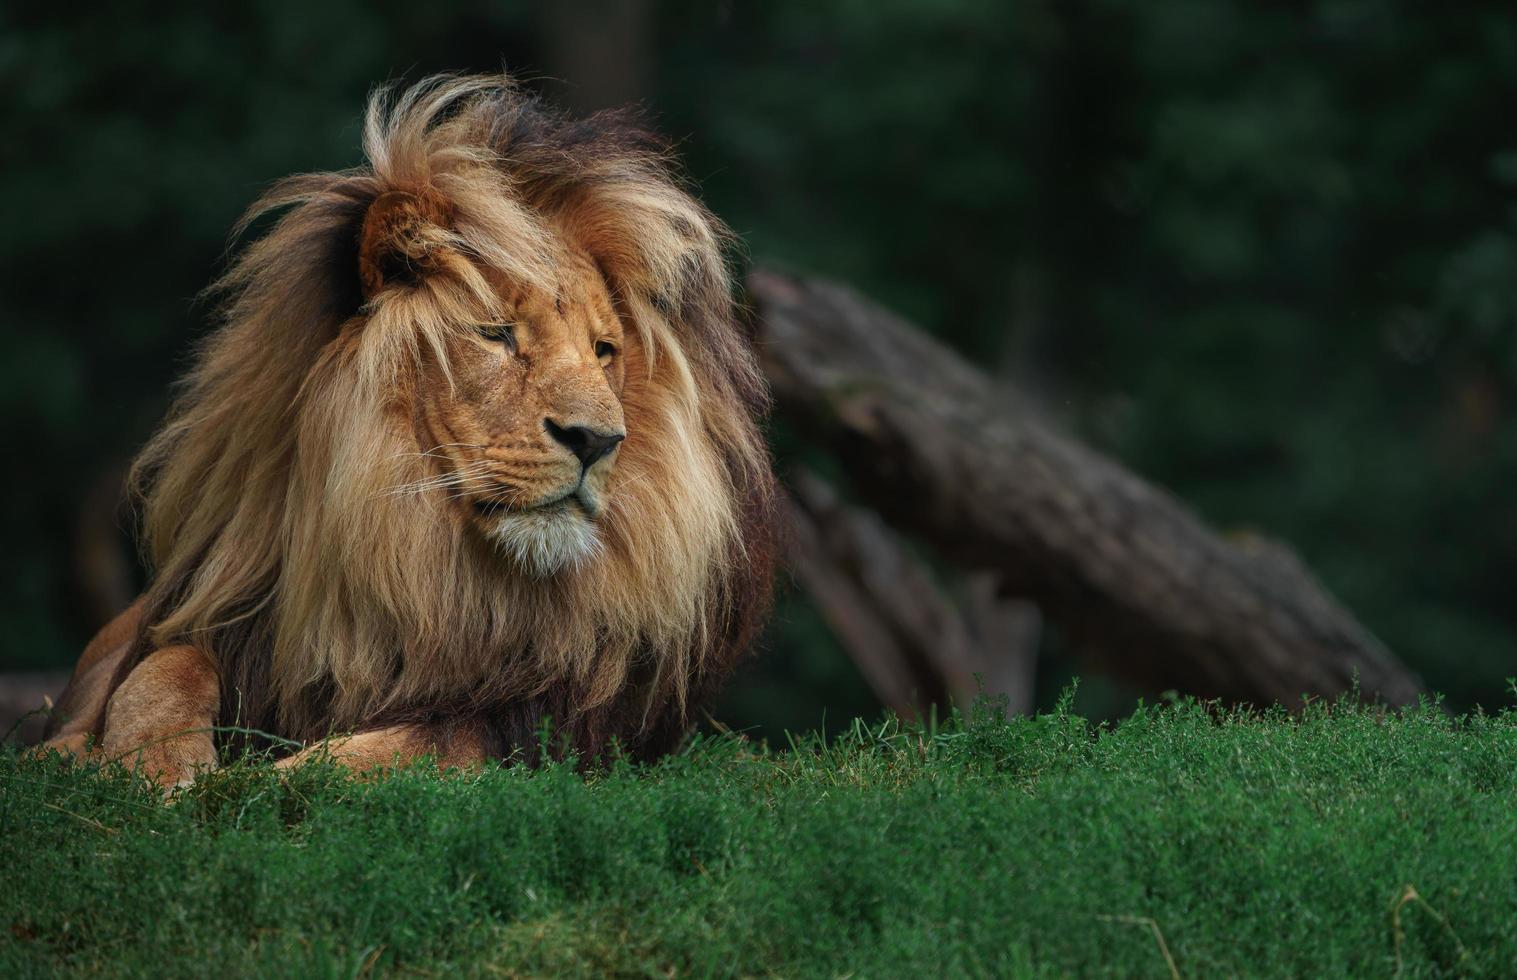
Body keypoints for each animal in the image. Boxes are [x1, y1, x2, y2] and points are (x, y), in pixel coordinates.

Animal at [40, 72, 782, 788]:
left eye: (603, 351)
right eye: (497, 334)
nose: (599, 441)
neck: (416, 553)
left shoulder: (534, 725)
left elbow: (407, 747)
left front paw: (247, 784)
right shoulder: (221, 622)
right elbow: (164, 669)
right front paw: (141, 765)